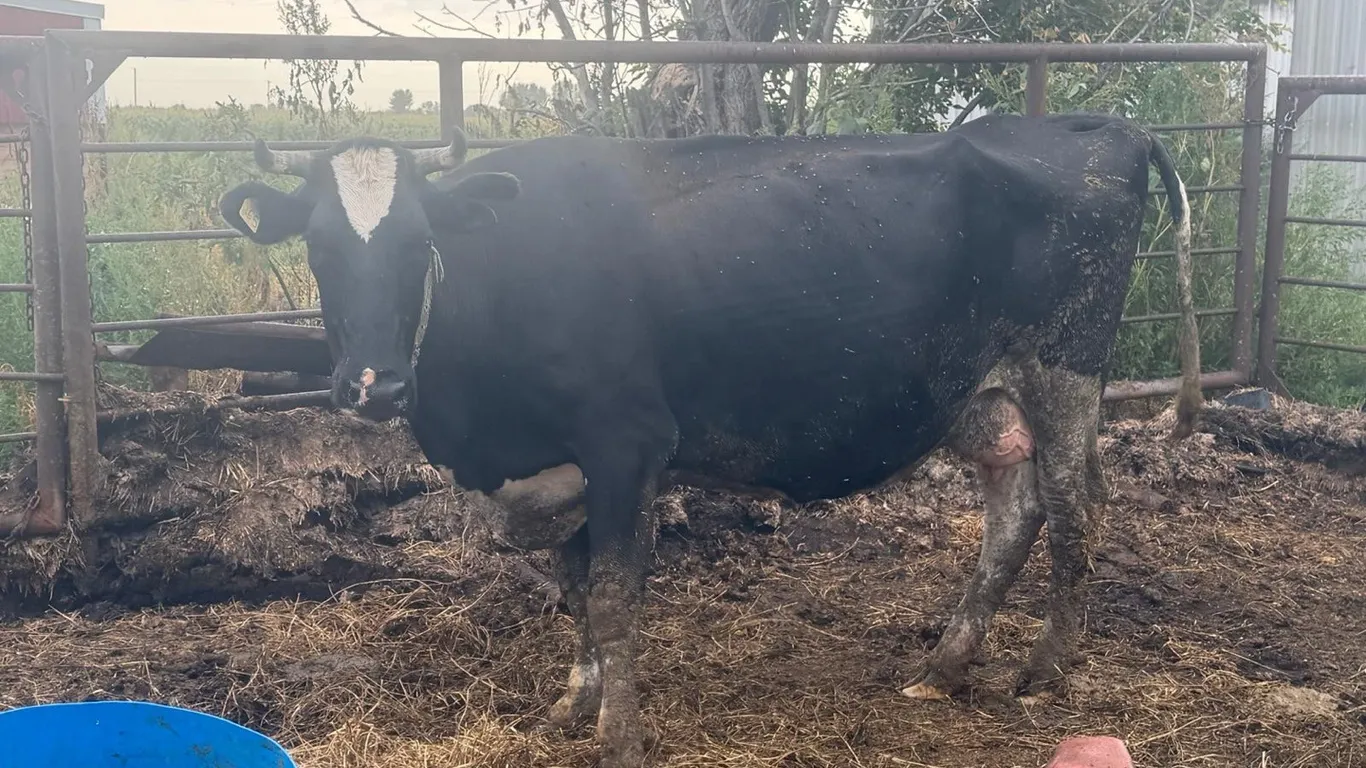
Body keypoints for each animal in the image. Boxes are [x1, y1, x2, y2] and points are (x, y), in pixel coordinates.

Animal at [218, 112, 1201, 767]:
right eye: (317, 249)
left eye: (418, 244)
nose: (373, 385)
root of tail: (1099, 128)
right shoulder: (564, 469)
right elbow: (576, 589)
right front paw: (573, 705)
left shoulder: (628, 443)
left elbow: (614, 596)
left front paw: (620, 735)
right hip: (980, 393)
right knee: (1015, 508)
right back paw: (947, 660)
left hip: (1064, 366)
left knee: (1075, 509)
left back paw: (1046, 669)